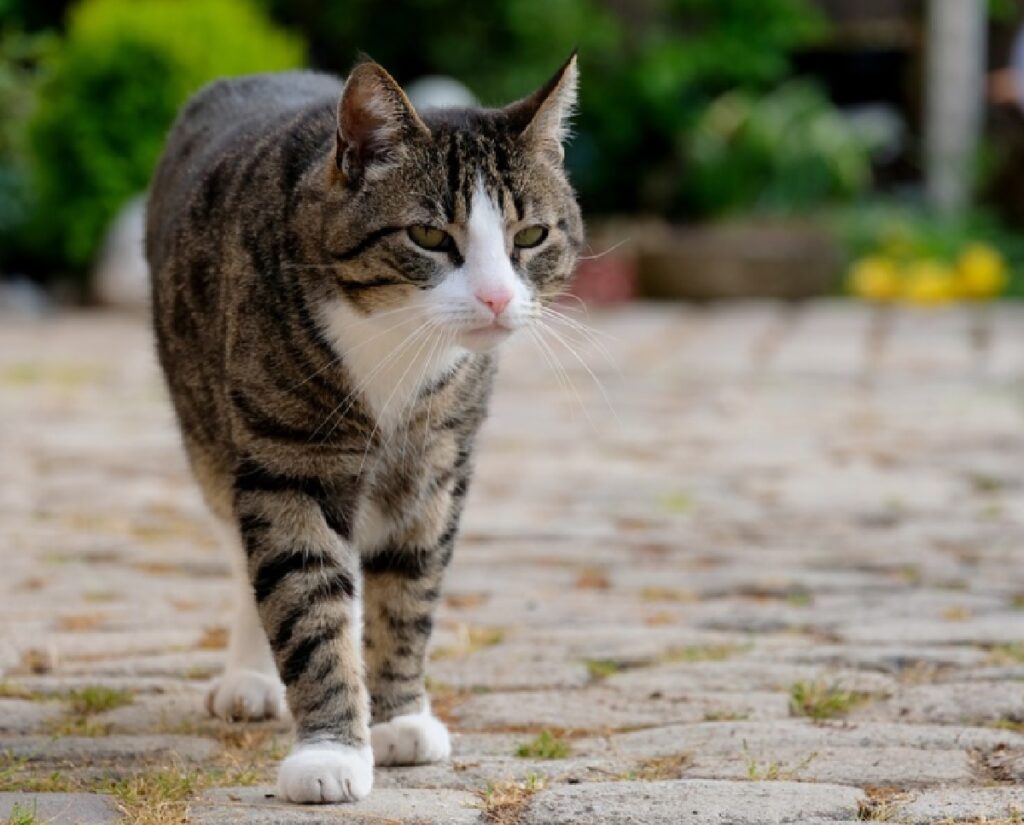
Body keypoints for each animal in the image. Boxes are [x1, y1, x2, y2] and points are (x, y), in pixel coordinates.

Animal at [142, 55, 585, 802]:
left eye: (530, 237)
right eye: (430, 236)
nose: (497, 297)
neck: (398, 346)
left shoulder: (436, 463)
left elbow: (407, 593)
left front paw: (400, 715)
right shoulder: (287, 463)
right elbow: (304, 601)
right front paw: (331, 752)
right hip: (207, 426)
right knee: (244, 552)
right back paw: (250, 677)